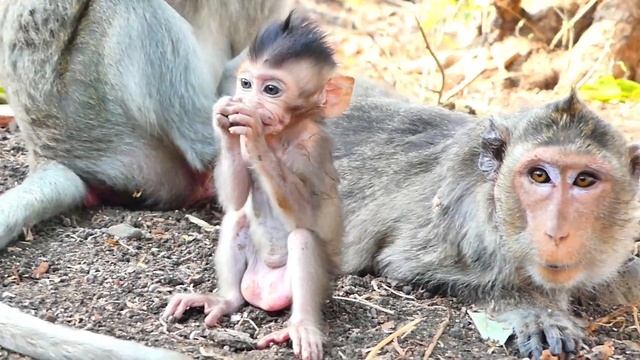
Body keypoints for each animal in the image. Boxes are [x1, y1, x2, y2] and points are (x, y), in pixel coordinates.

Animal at [164, 11, 356, 360]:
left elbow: (309, 216)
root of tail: (264, 293)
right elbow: (235, 199)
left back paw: (301, 326)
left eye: (270, 89)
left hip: (317, 284)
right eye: (245, 84)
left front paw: (254, 136)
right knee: (237, 219)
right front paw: (224, 123)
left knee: (303, 239)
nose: (247, 99)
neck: (281, 136)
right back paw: (224, 300)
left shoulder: (313, 146)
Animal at [328, 93, 640, 360]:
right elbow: (407, 265)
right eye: (539, 175)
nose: (557, 232)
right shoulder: (460, 225)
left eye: (584, 180)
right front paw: (537, 312)